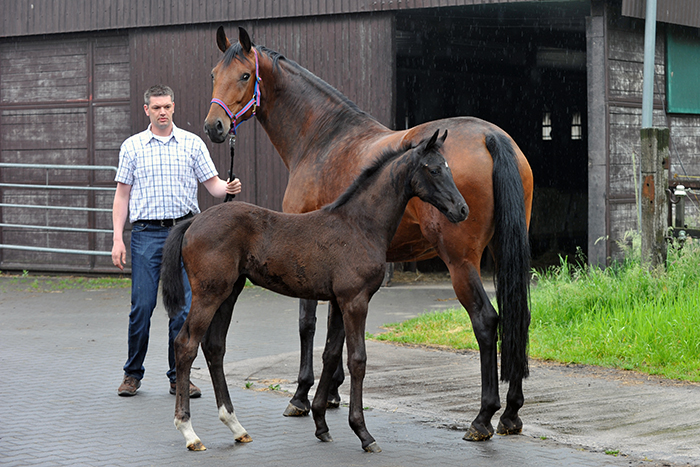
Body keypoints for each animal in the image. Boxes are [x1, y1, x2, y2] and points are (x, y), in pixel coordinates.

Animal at [161, 130, 468, 452]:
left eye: (448, 167)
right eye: (434, 169)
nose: (462, 210)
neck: (359, 225)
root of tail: (194, 220)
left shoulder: (339, 301)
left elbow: (331, 355)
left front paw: (321, 423)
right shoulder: (355, 300)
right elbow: (357, 359)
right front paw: (363, 433)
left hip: (230, 292)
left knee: (214, 347)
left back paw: (236, 426)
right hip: (209, 294)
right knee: (185, 344)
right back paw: (189, 432)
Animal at [205, 25, 532, 442]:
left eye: (245, 75)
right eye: (215, 74)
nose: (214, 126)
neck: (323, 139)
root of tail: (491, 136)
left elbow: (308, 325)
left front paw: (302, 396)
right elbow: (337, 336)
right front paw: (329, 394)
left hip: (461, 262)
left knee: (486, 321)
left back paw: (483, 417)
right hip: (507, 253)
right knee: (519, 317)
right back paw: (511, 413)